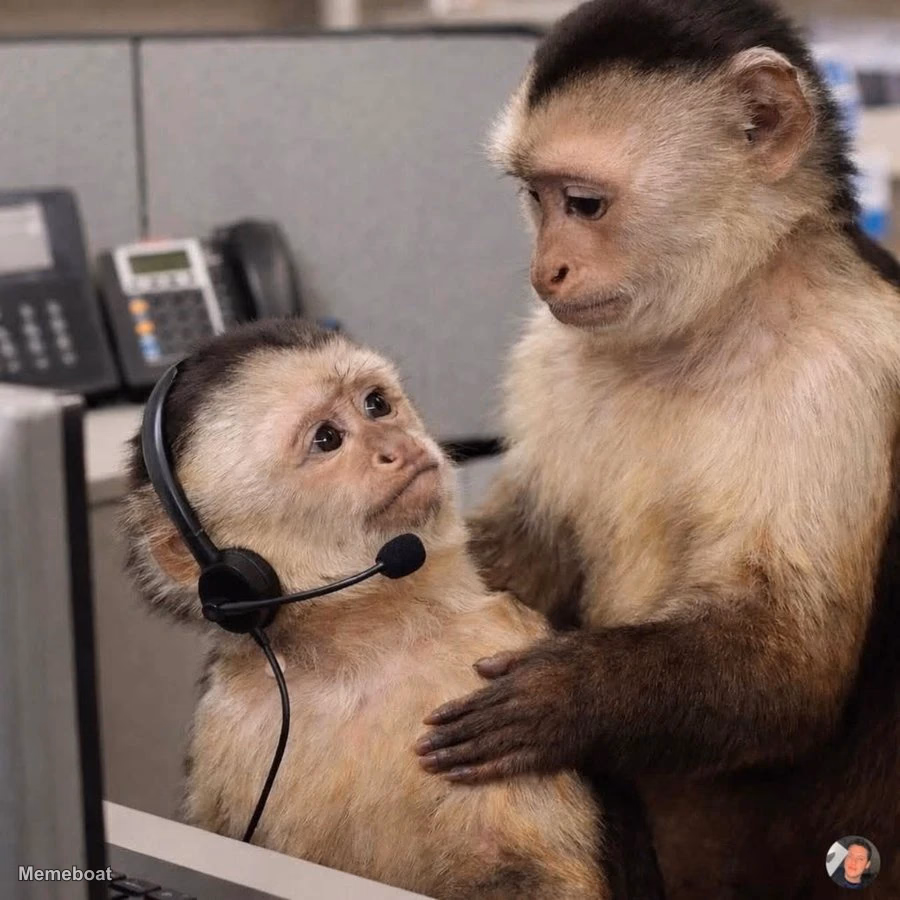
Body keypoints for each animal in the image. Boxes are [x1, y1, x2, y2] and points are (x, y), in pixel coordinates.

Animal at [119, 319, 612, 900]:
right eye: (327, 439)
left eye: (376, 405)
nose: (395, 446)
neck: (359, 647)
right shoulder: (224, 720)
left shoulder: (495, 649)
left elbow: (530, 872)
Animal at [411, 1, 900, 898]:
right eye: (535, 199)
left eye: (584, 203)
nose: (545, 271)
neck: (715, 321)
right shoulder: (549, 352)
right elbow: (525, 556)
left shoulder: (842, 369)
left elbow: (791, 664)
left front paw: (567, 697)